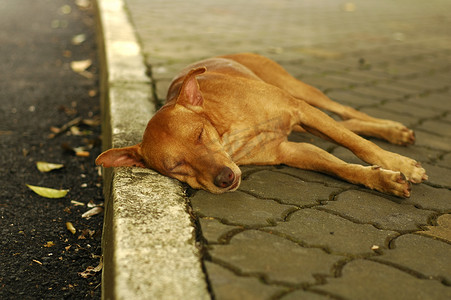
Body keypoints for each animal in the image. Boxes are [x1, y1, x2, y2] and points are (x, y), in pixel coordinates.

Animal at [95, 52, 428, 198]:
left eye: (200, 134)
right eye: (177, 167)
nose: (225, 179)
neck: (231, 134)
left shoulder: (299, 109)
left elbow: (357, 146)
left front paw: (399, 165)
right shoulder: (292, 151)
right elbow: (342, 167)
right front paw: (381, 179)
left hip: (300, 92)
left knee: (344, 112)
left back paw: (391, 130)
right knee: (348, 122)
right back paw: (393, 132)